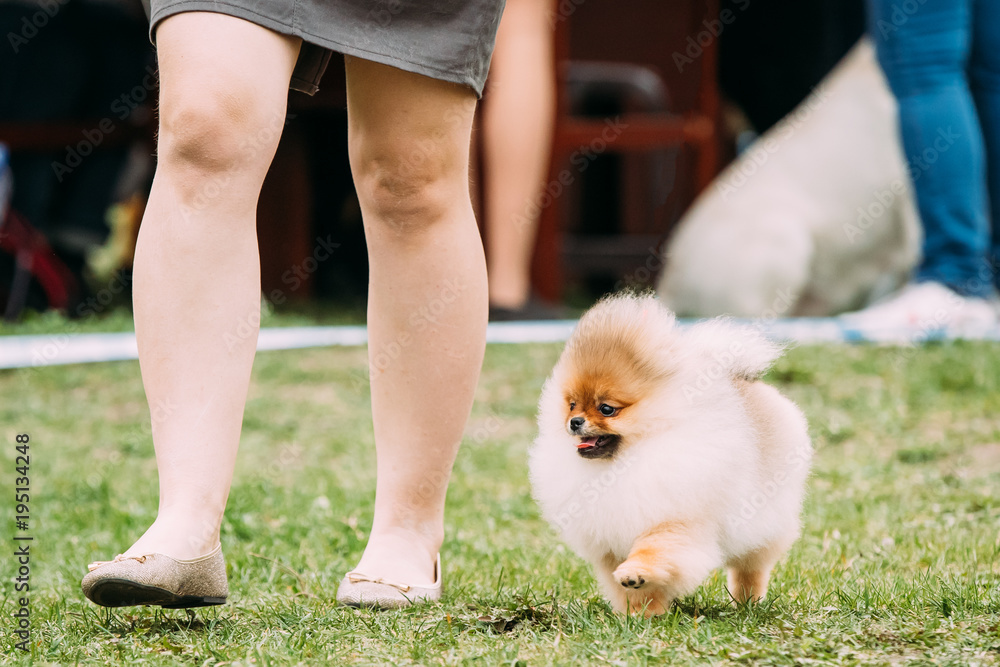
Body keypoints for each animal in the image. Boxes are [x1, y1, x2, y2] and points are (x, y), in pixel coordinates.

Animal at [528, 294, 808, 620]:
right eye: (572, 405)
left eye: (606, 409)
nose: (574, 422)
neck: (629, 459)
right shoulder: (609, 544)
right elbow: (631, 590)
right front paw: (640, 613)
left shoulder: (673, 519)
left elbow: (654, 550)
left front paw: (636, 573)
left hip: (763, 521)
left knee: (750, 568)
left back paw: (747, 602)